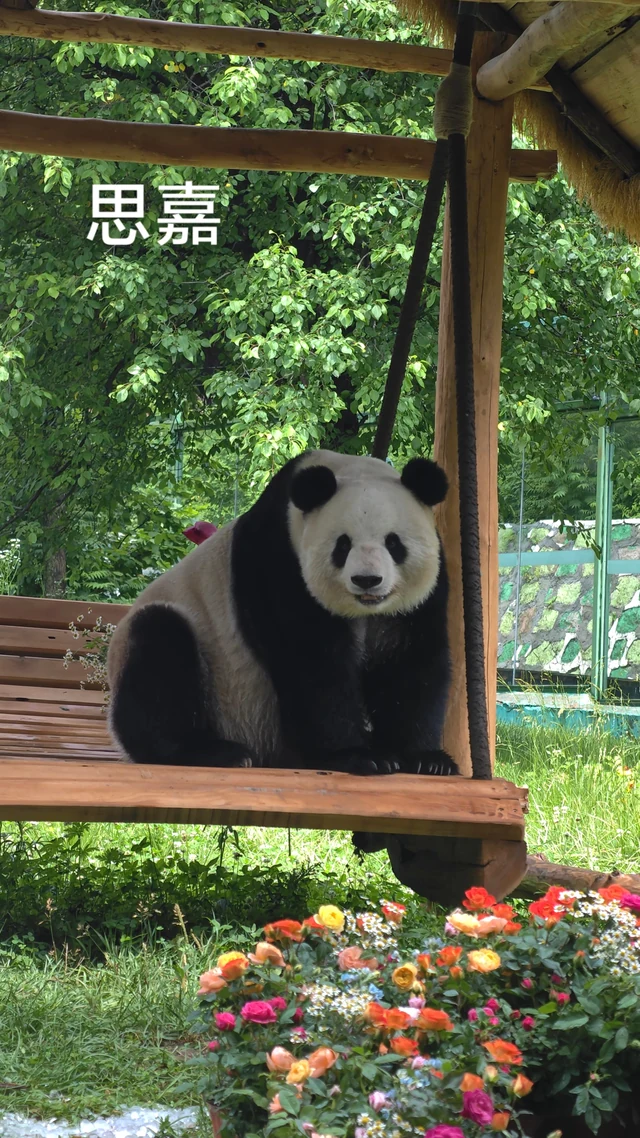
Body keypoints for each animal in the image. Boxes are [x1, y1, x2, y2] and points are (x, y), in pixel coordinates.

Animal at [107, 449, 458, 778]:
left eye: (393, 543)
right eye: (343, 545)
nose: (367, 580)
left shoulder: (422, 598)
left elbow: (412, 664)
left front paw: (427, 759)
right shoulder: (277, 563)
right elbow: (311, 663)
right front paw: (358, 755)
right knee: (160, 653)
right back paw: (215, 752)